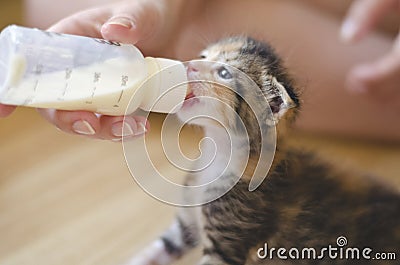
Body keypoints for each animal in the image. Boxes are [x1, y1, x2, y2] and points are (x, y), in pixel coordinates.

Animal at [124, 36, 396, 262]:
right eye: (203, 56)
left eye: (224, 73)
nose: (189, 64)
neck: (216, 157)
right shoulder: (185, 226)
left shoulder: (227, 246)